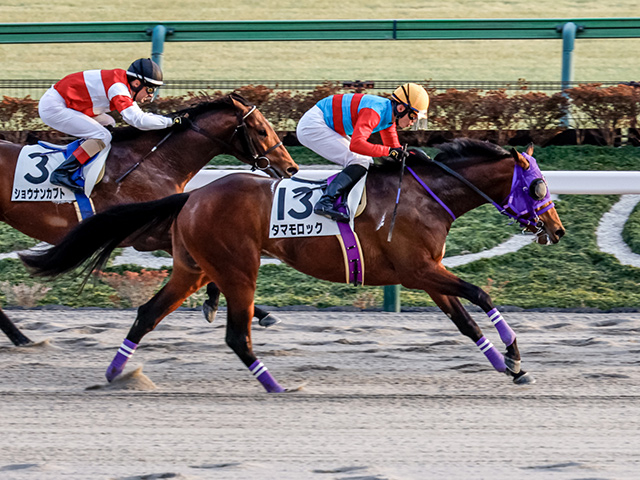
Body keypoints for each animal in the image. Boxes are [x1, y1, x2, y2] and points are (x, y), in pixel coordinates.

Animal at [0, 92, 300, 344]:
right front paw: (217, 304)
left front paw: (259, 312)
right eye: (261, 130)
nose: (291, 168)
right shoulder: (149, 235)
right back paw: (20, 338)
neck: (157, 163)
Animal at [21, 139, 564, 390]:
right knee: (236, 335)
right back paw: (276, 385)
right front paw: (515, 356)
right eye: (537, 185)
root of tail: (193, 195)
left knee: (147, 314)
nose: (557, 230)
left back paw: (118, 373)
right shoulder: (419, 270)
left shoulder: (426, 274)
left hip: (193, 268)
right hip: (238, 269)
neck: (425, 196)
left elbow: (465, 320)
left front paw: (509, 366)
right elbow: (480, 295)